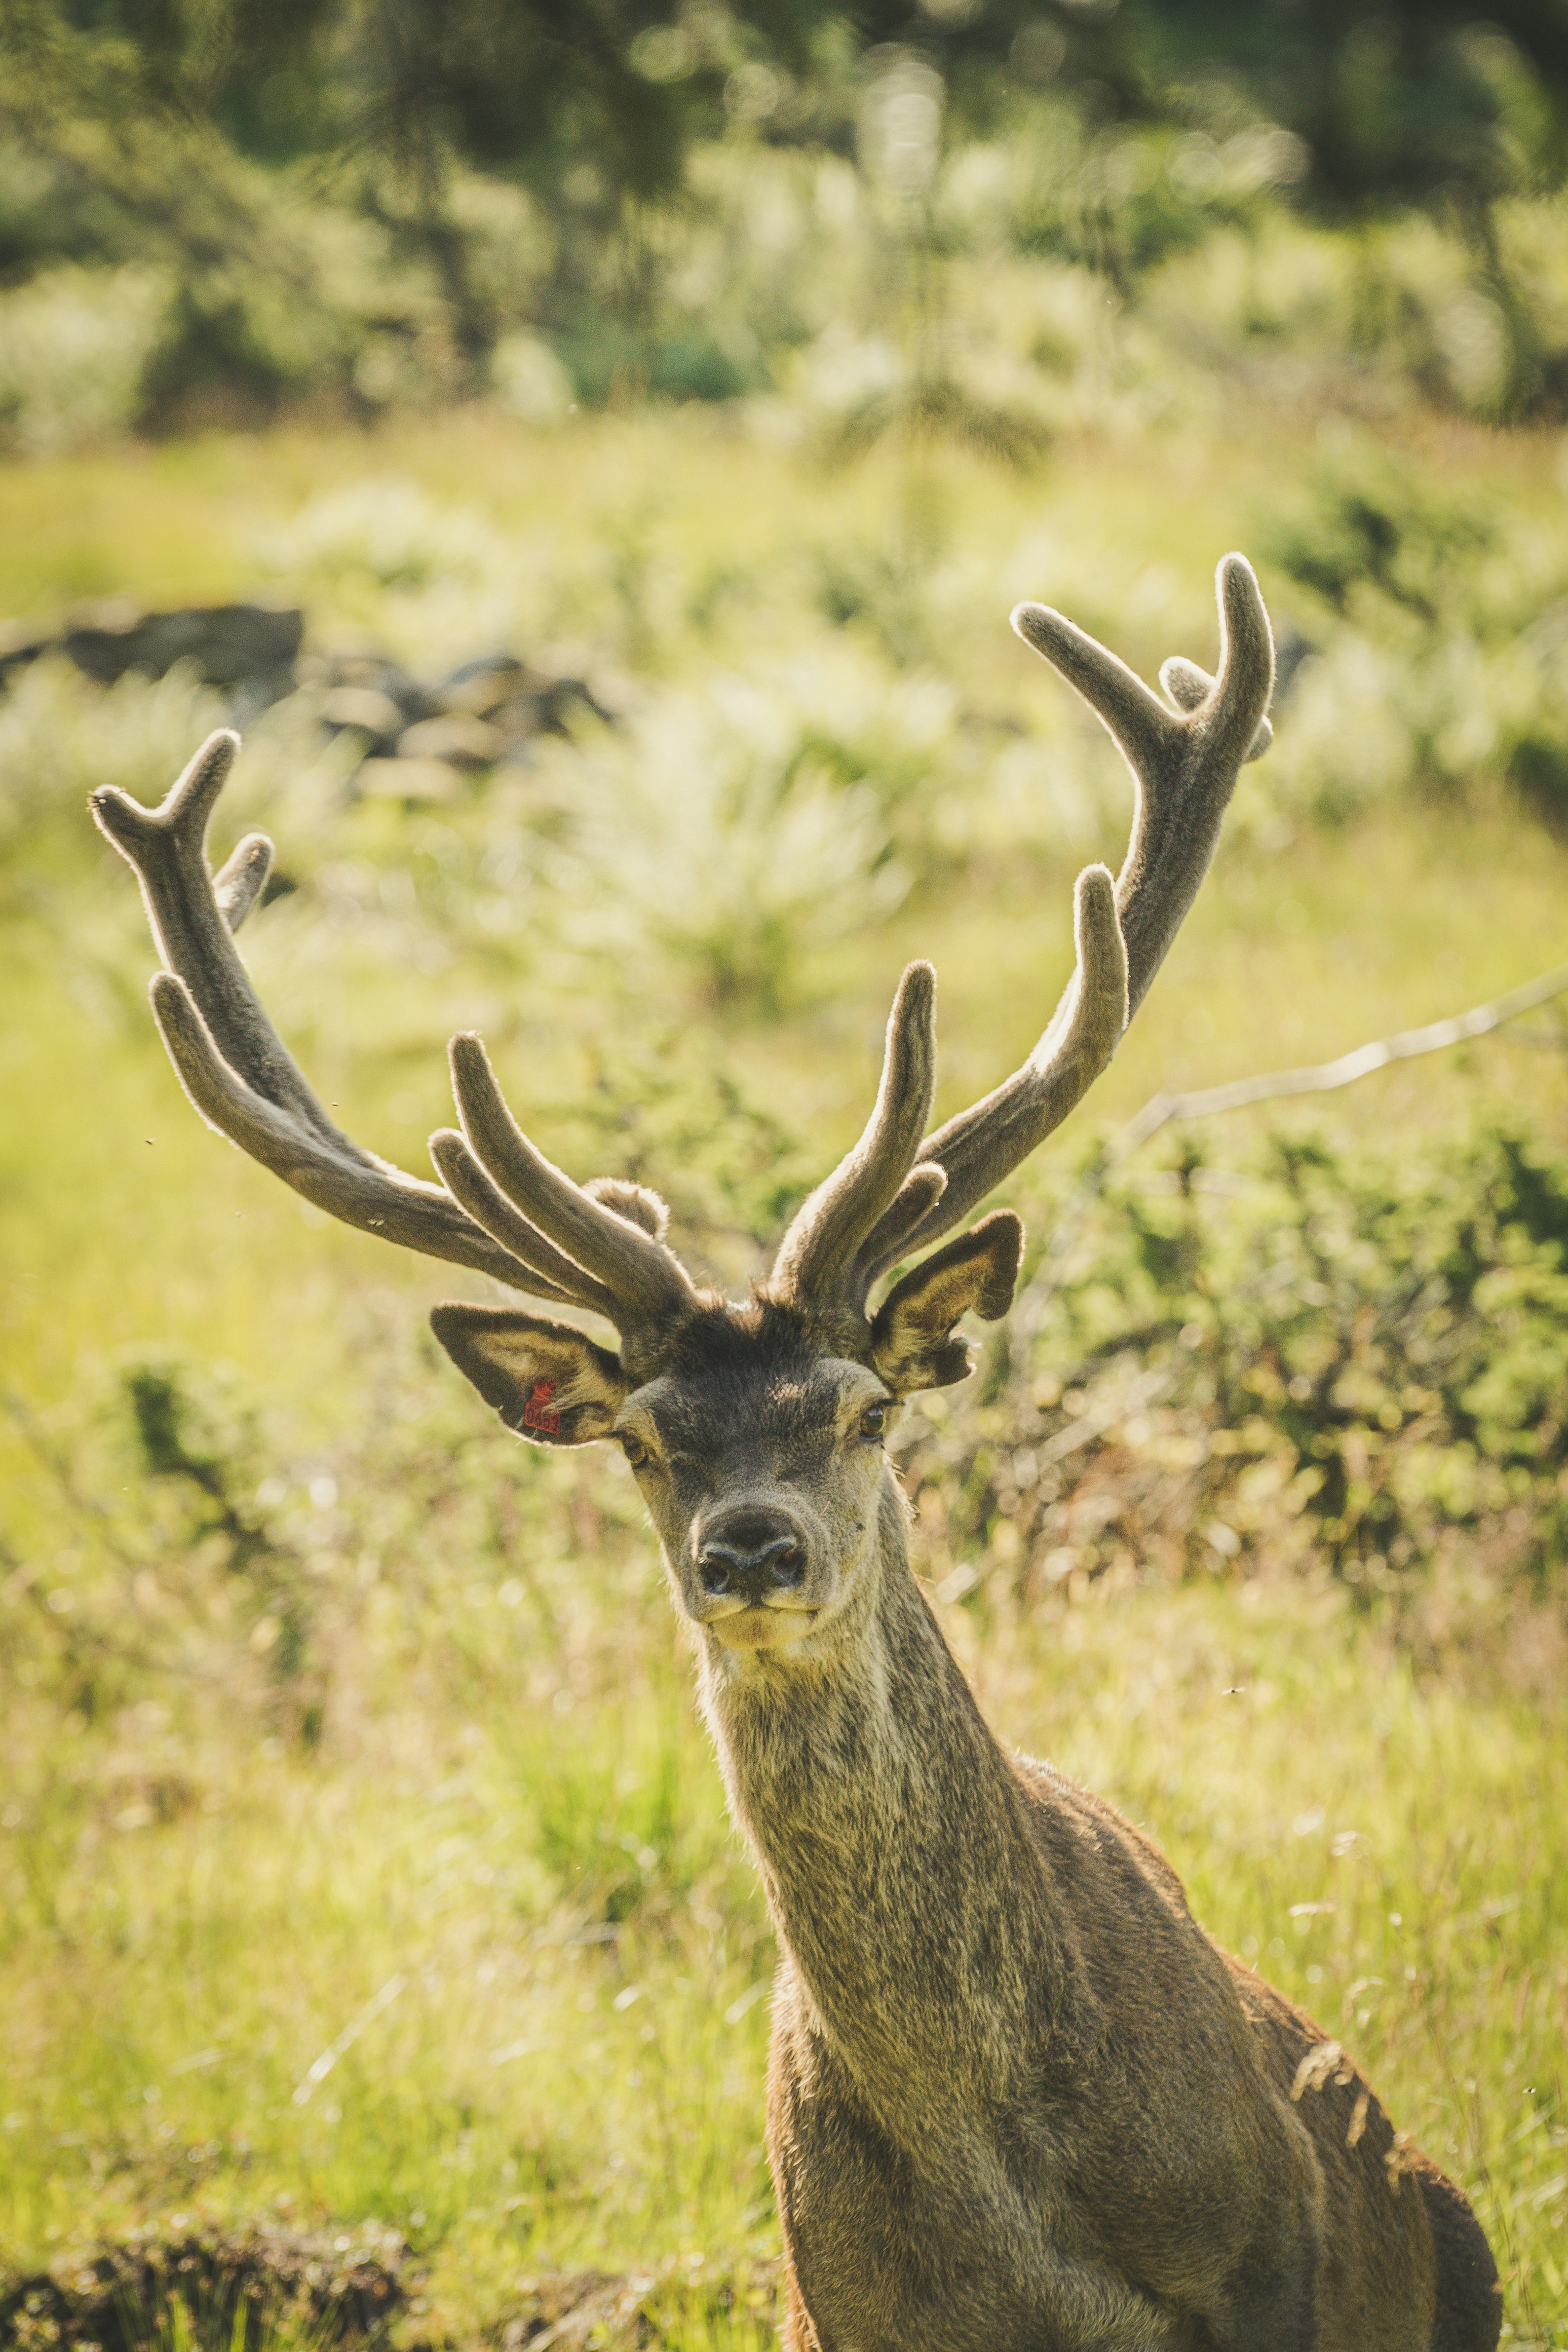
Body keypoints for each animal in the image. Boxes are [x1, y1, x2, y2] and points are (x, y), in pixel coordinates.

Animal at [92, 555, 1504, 2352]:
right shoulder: (839, 2302)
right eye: (640, 1441)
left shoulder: (1266, 2260)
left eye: (862, 1404)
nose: (749, 1546)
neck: (1009, 2181)